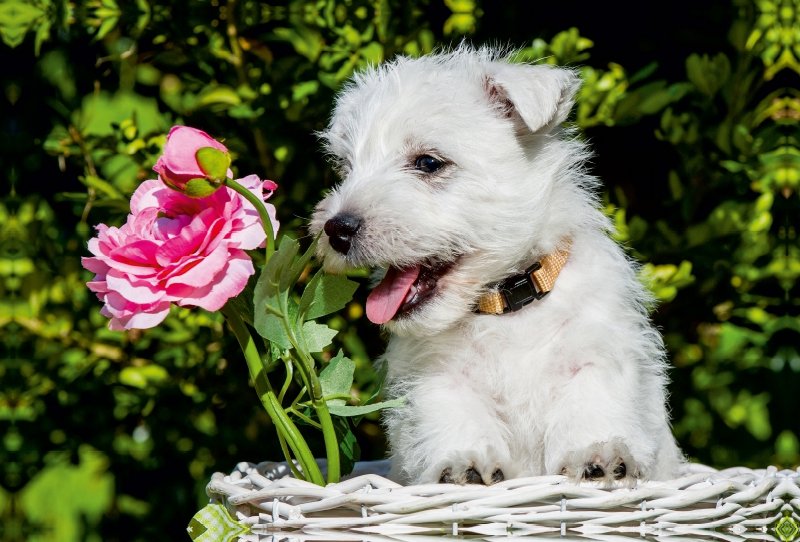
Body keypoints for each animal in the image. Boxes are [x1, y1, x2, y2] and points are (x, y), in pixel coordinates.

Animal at [310, 46, 684, 486]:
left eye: (428, 163)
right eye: (346, 168)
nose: (337, 228)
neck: (507, 304)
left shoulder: (599, 352)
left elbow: (592, 402)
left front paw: (600, 455)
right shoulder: (439, 380)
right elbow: (455, 418)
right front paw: (464, 464)